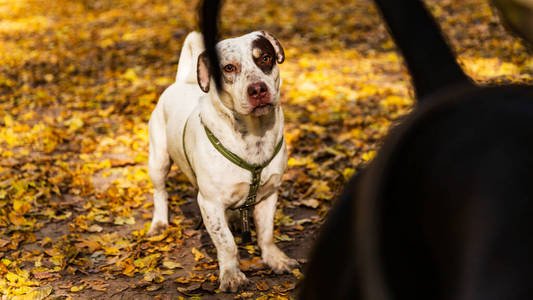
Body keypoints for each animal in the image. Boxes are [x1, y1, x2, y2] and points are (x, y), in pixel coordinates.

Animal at [198, 1, 532, 298]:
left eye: (265, 58)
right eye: (229, 68)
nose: (258, 89)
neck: (252, 137)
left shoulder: (269, 194)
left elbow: (266, 232)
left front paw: (274, 258)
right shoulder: (210, 203)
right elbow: (226, 243)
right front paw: (232, 274)